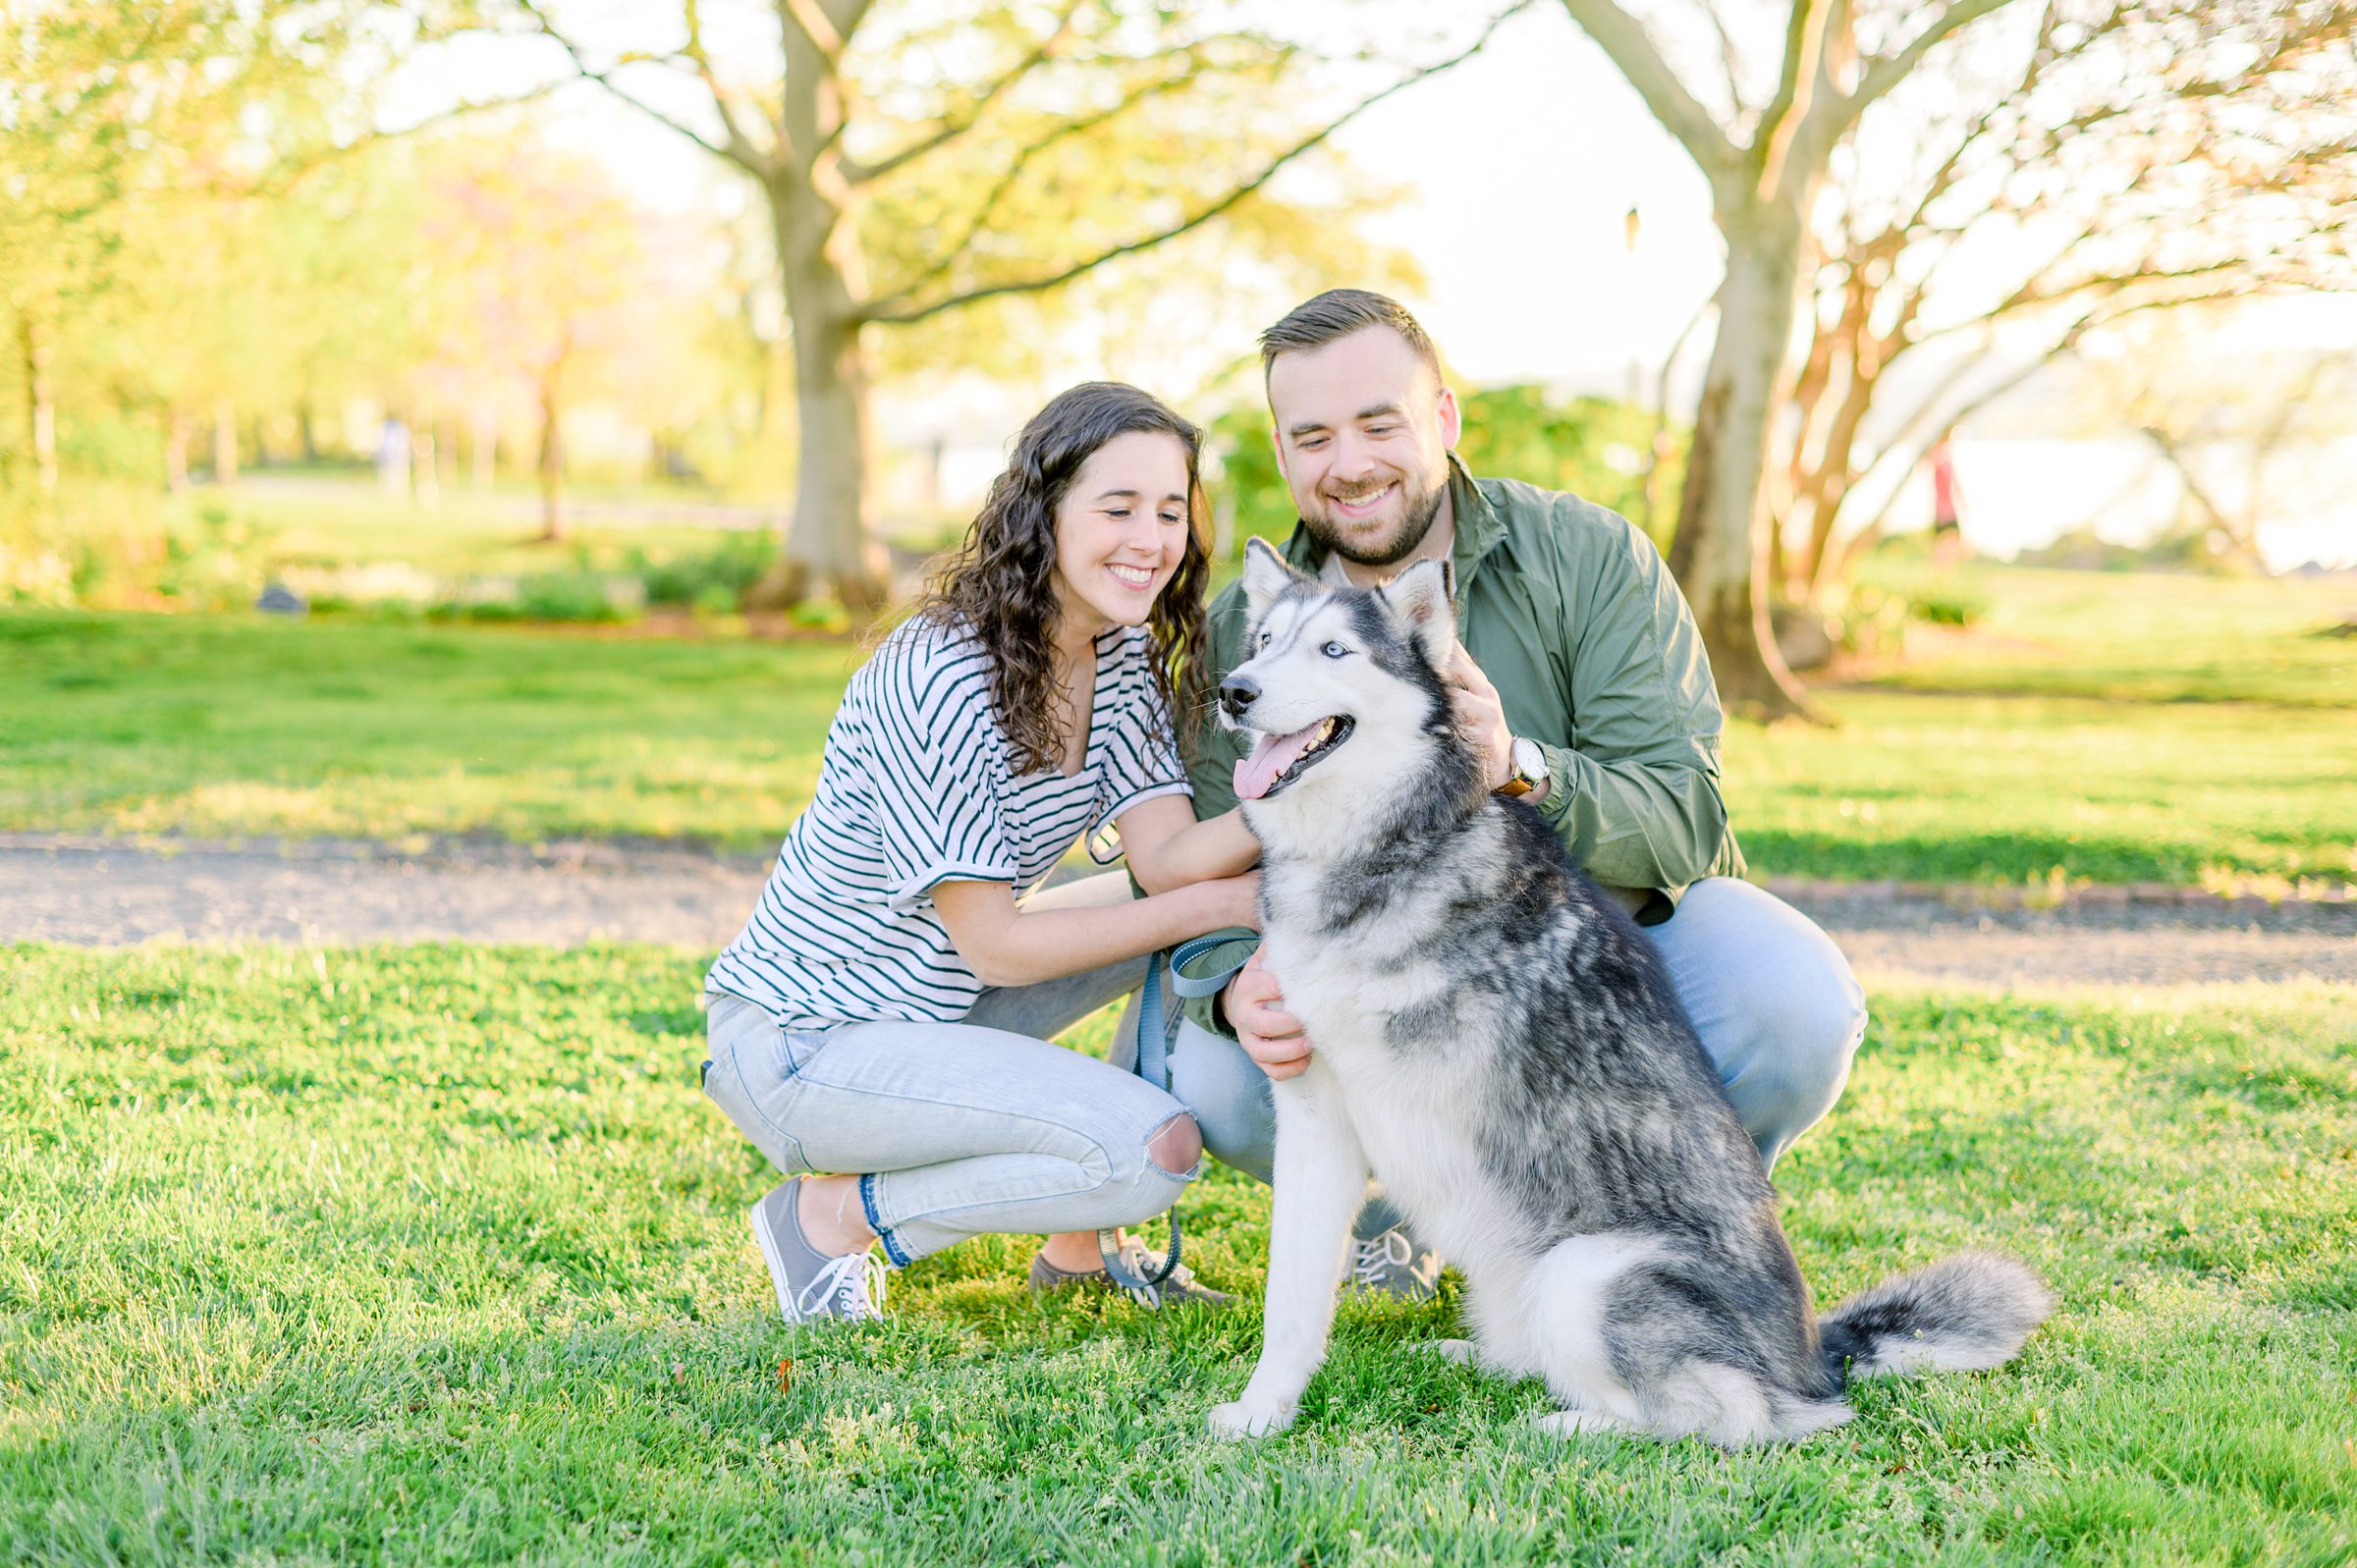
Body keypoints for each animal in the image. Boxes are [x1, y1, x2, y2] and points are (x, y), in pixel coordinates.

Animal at [1206, 537, 2055, 1442]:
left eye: (1334, 650)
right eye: (1263, 641)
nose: (1235, 691)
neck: (1377, 845)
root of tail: (1814, 1357)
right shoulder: (1314, 1113)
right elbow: (1291, 1296)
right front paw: (1265, 1409)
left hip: (1586, 1272)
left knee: (1734, 1416)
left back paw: (1565, 1426)